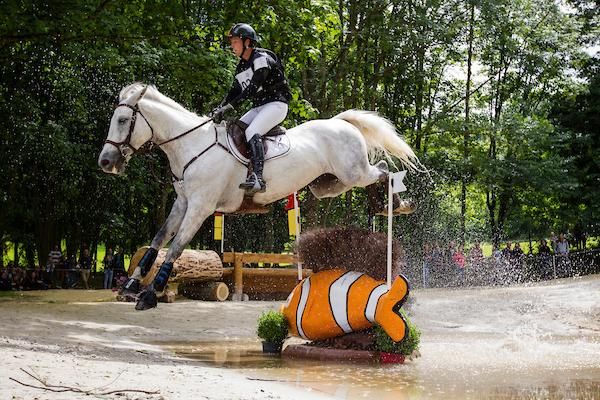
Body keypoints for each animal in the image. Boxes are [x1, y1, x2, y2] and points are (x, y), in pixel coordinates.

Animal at [98, 83, 420, 310]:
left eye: (123, 120)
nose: (105, 162)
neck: (191, 145)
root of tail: (341, 122)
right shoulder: (183, 203)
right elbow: (158, 239)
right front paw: (131, 285)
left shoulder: (201, 206)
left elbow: (176, 247)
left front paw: (150, 294)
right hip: (328, 184)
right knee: (377, 170)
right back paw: (385, 205)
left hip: (353, 173)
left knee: (382, 170)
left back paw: (395, 205)